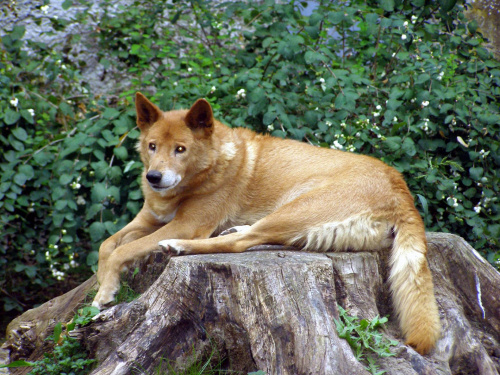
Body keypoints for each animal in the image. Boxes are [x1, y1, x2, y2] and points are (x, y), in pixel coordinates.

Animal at [92, 93, 440, 356]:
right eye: (152, 146)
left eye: (181, 149)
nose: (154, 177)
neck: (209, 166)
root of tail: (401, 187)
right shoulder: (148, 219)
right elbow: (106, 245)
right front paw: (101, 283)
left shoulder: (187, 224)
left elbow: (123, 251)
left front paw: (105, 292)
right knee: (257, 237)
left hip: (295, 207)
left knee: (238, 243)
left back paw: (180, 247)